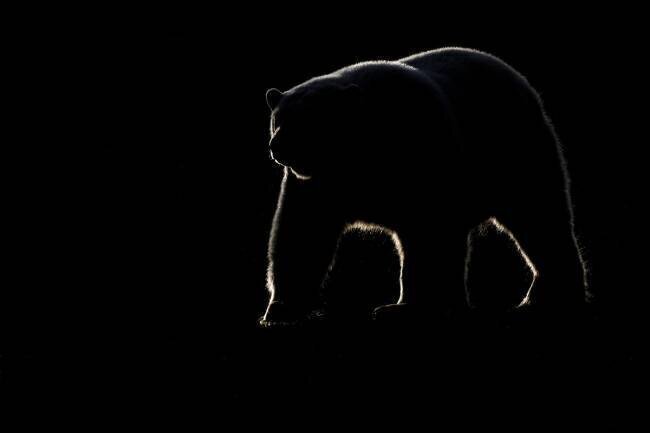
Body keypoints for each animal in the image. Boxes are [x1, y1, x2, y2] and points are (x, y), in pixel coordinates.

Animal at [260, 47, 589, 326]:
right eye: (278, 119)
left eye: (306, 120)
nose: (277, 147)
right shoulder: (319, 184)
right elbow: (302, 232)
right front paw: (280, 308)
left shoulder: (422, 159)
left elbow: (427, 233)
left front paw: (405, 308)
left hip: (517, 152)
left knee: (539, 216)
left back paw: (550, 297)